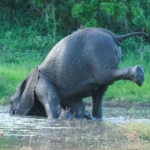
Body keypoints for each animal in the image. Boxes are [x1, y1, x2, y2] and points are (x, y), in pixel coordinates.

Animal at [9, 27, 149, 119]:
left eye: (10, 101)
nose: (11, 113)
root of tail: (114, 36)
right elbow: (77, 106)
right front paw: (79, 116)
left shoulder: (41, 84)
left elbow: (53, 102)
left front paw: (57, 119)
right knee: (100, 94)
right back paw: (96, 118)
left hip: (99, 54)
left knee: (108, 75)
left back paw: (140, 76)